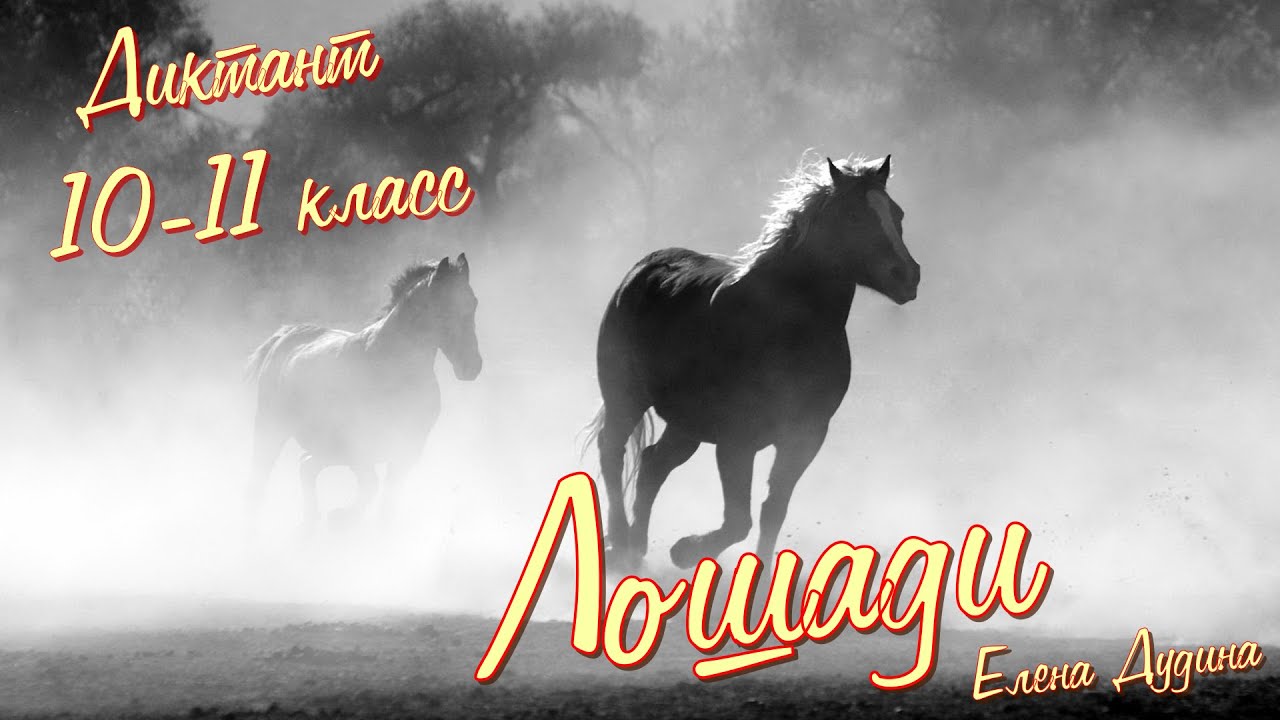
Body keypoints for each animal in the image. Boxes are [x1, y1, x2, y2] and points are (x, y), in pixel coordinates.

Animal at [245, 254, 481, 532]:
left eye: (473, 303)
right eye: (444, 308)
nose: (472, 366)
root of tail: (285, 336)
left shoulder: (407, 450)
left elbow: (387, 500)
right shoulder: (359, 447)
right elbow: (371, 486)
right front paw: (341, 517)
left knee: (306, 466)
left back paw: (311, 523)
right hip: (272, 428)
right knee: (261, 478)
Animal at [586, 155, 919, 569]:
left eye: (897, 213)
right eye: (855, 215)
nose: (908, 276)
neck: (787, 328)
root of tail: (643, 268)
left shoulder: (805, 436)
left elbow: (771, 511)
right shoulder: (737, 441)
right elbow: (738, 521)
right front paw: (686, 550)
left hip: (686, 424)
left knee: (651, 465)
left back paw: (635, 549)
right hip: (626, 397)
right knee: (612, 451)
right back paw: (618, 543)